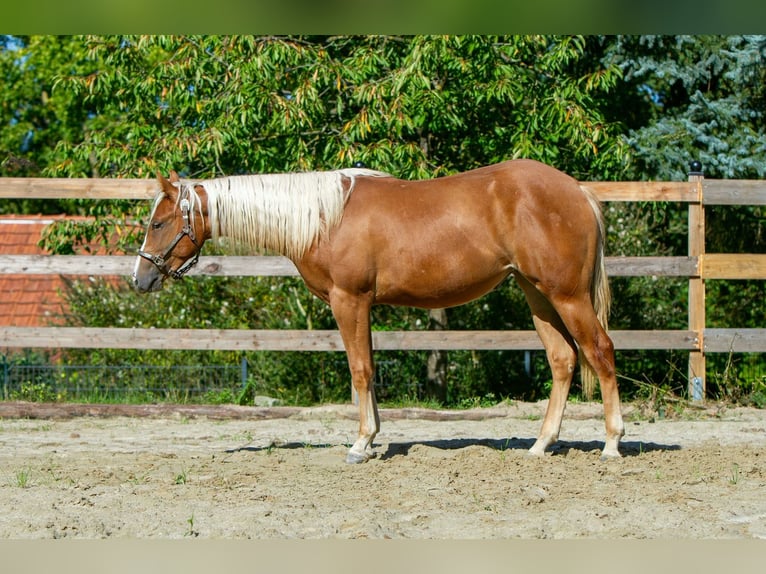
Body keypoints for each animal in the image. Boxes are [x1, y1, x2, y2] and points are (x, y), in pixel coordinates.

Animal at [132, 159, 625, 463]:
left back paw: (612, 444)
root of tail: (578, 191)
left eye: (159, 223)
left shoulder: (348, 300)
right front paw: (373, 439)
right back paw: (541, 445)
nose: (141, 278)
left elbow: (359, 370)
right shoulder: (362, 304)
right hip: (536, 293)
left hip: (567, 295)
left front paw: (360, 444)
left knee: (600, 351)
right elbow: (367, 369)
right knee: (562, 359)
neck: (323, 218)